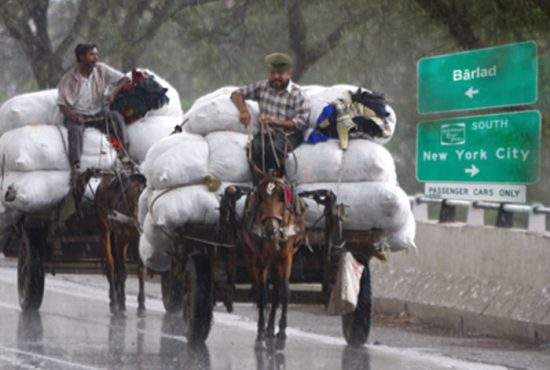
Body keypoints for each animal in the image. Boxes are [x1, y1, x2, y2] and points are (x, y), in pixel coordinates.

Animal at [95, 171, 148, 316]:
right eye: (135, 198)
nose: (140, 222)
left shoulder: (138, 240)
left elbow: (141, 270)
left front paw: (141, 304)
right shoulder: (121, 238)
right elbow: (122, 271)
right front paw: (122, 304)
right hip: (105, 230)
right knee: (111, 264)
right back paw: (114, 300)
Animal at [243, 172, 308, 348]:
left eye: (282, 196)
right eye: (261, 196)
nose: (270, 230)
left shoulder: (286, 257)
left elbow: (284, 291)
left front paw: (282, 331)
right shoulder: (260, 258)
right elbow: (263, 293)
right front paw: (260, 330)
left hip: (277, 261)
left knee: (277, 289)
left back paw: (272, 327)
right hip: (255, 258)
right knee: (262, 288)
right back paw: (267, 326)